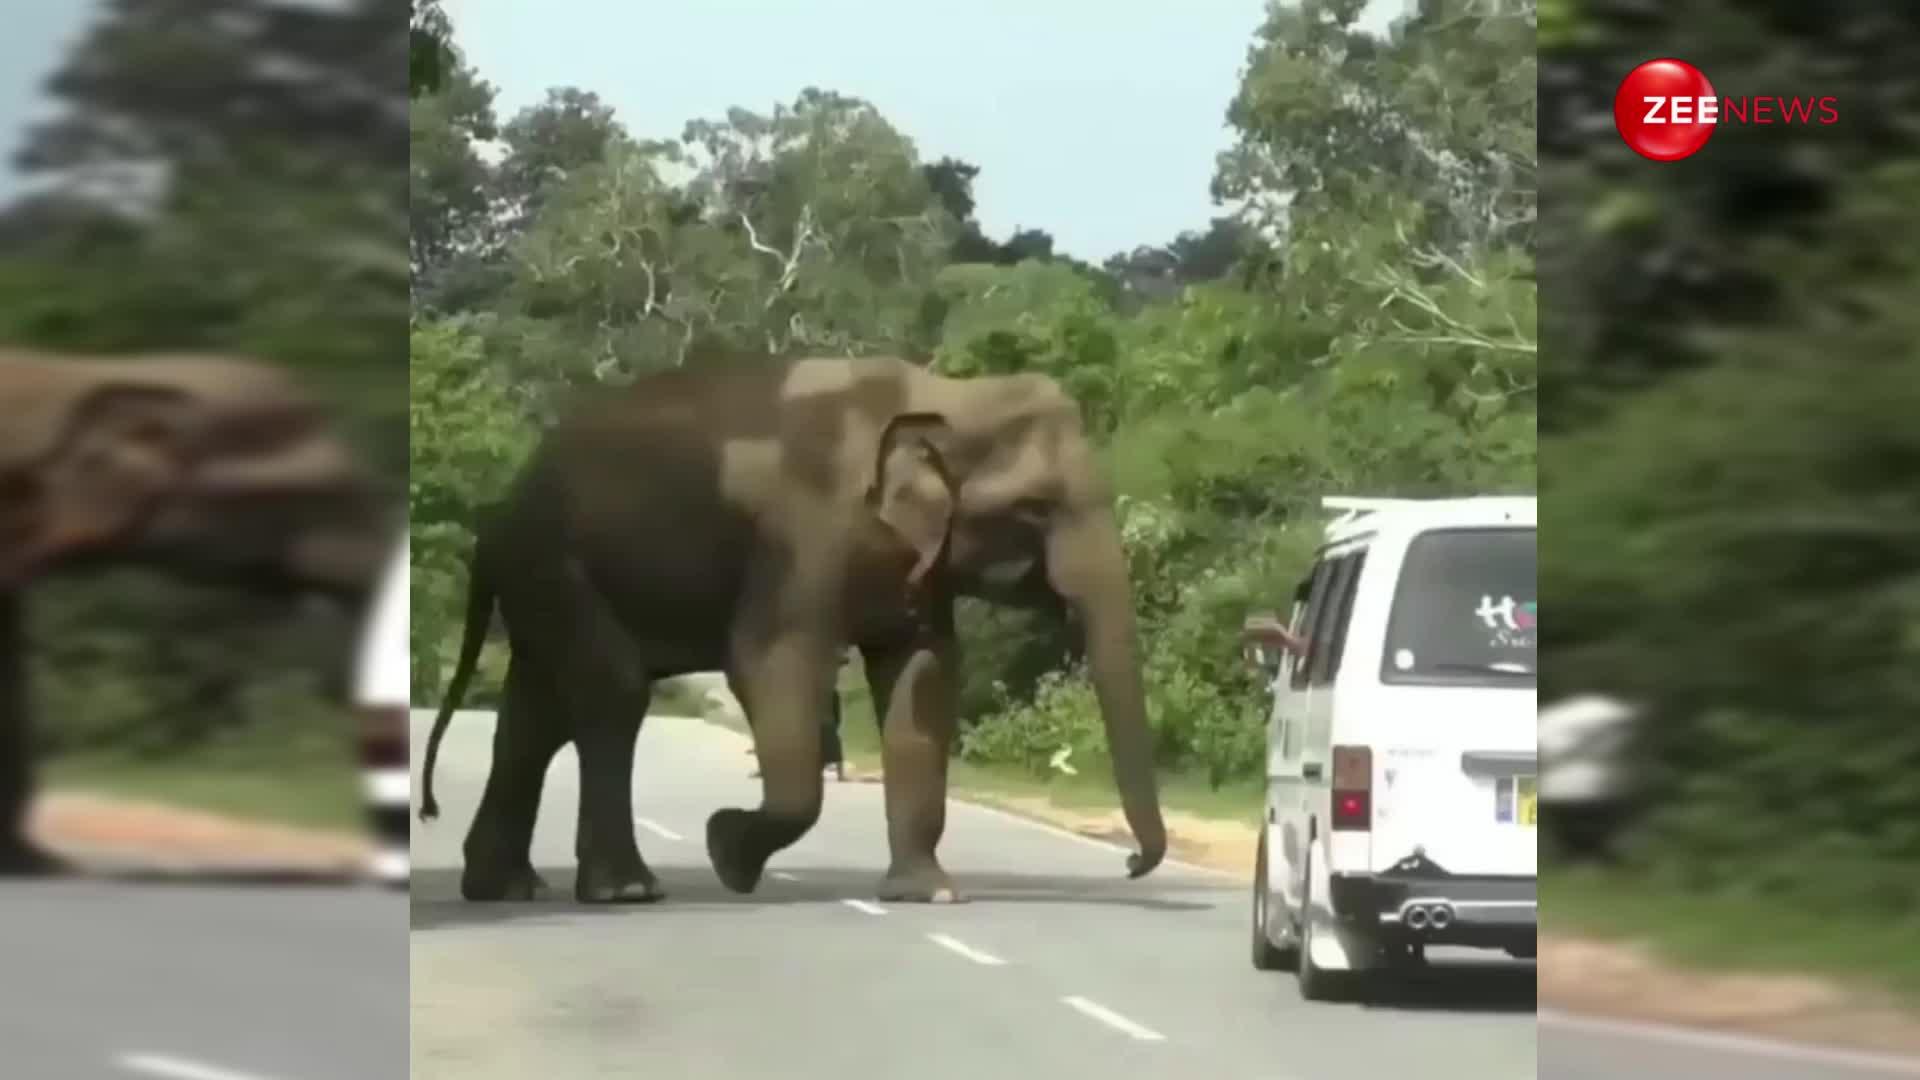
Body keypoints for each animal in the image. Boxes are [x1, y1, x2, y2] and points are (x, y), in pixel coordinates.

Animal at [416, 351, 1167, 899]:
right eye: (1038, 509)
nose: (1129, 863)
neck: (947, 393)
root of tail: (496, 513)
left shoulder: (915, 559)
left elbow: (921, 678)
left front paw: (928, 894)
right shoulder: (804, 535)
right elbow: (770, 661)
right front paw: (726, 852)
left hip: (543, 582)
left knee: (535, 717)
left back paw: (504, 888)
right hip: (553, 564)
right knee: (611, 692)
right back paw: (625, 891)